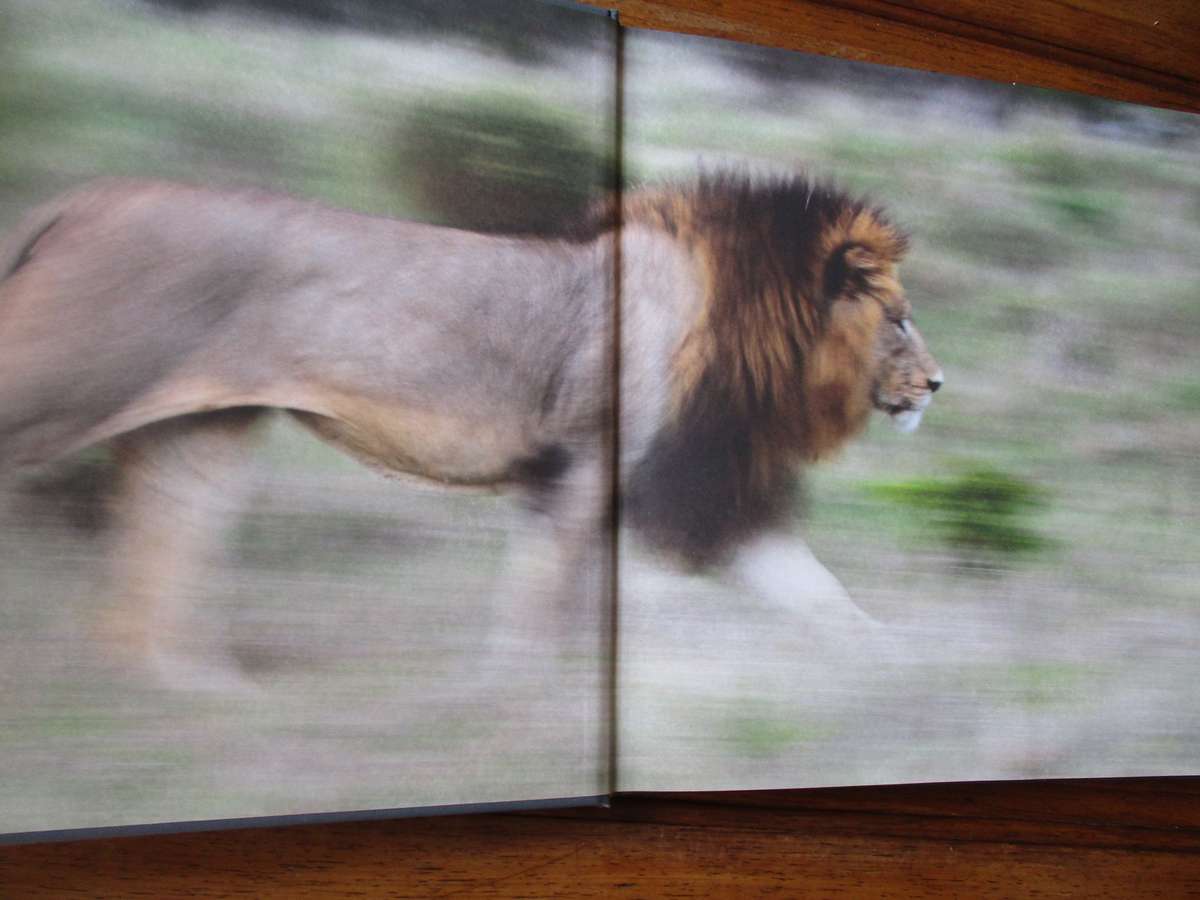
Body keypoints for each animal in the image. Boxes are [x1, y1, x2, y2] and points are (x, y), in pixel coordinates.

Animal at [0, 172, 940, 680]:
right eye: (897, 317)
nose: (936, 383)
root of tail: (81, 198)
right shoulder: (596, 464)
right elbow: (543, 588)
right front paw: (511, 693)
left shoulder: (705, 493)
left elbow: (820, 596)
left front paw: (908, 669)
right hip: (61, 377)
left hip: (209, 425)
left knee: (171, 525)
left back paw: (185, 686)